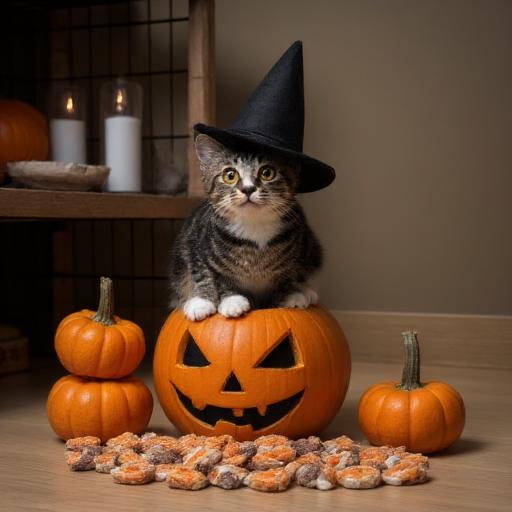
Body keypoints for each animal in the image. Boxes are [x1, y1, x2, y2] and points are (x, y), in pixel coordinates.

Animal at [171, 135, 324, 320]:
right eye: (230, 175)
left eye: (267, 173)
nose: (248, 188)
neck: (253, 225)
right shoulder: (195, 240)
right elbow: (204, 271)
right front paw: (218, 301)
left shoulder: (302, 240)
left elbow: (293, 273)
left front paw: (292, 294)